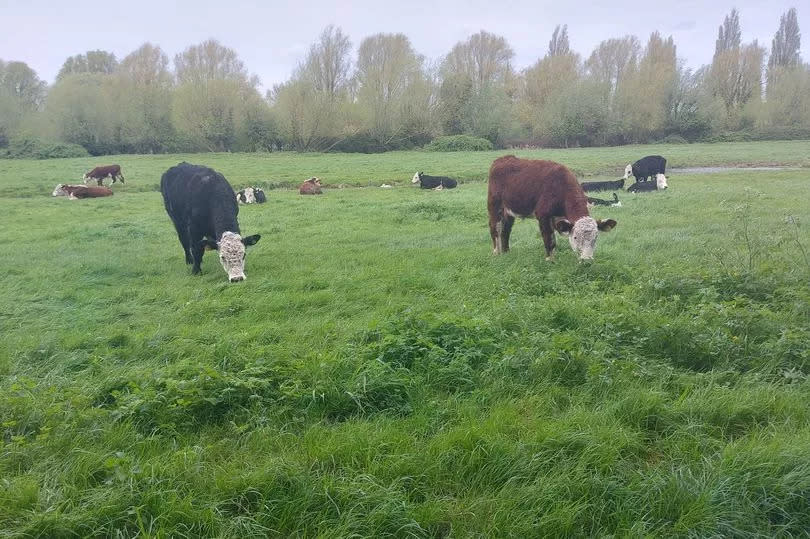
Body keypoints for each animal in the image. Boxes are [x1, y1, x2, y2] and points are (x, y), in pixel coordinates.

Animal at [486, 156, 620, 264]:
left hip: (509, 211)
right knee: (495, 229)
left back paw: (506, 252)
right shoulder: (543, 215)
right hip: (495, 206)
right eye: (575, 237)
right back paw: (496, 253)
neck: (561, 187)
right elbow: (549, 239)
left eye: (595, 237)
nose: (587, 261)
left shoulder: (558, 219)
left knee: (506, 231)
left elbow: (554, 240)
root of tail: (503, 159)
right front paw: (550, 260)